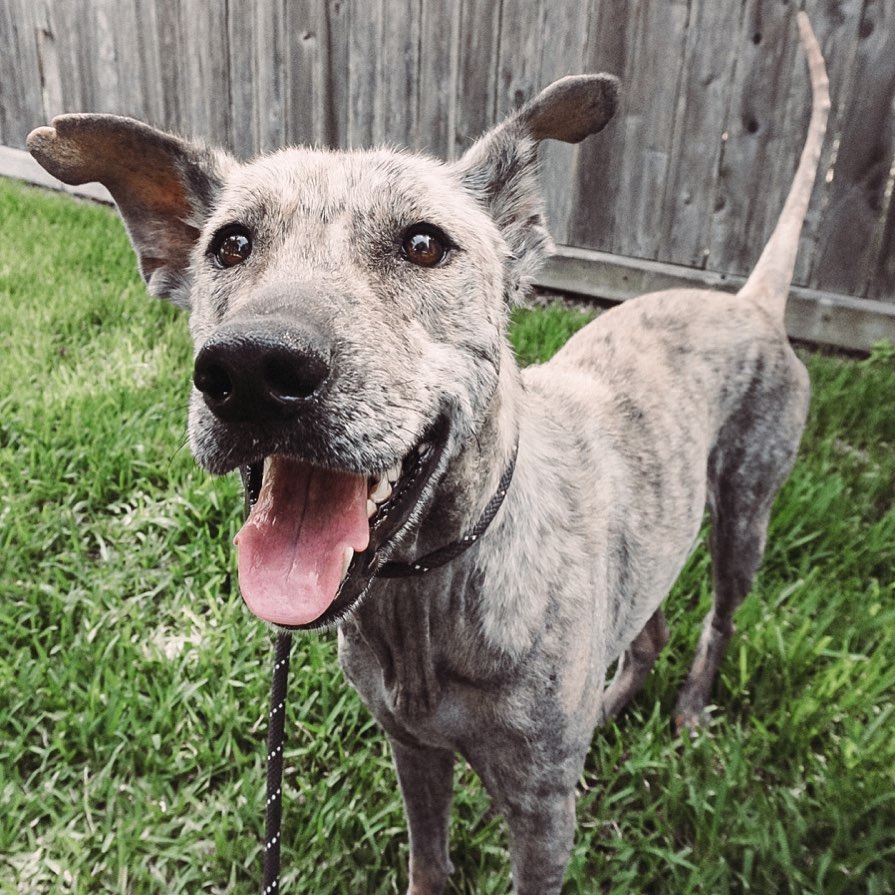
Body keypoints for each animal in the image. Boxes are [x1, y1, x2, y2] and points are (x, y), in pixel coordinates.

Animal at [31, 8, 832, 895]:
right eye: (229, 244)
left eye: (423, 244)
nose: (250, 369)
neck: (423, 593)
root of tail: (751, 302)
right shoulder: (409, 749)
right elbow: (427, 857)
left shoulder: (541, 814)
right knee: (647, 626)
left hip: (746, 513)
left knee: (719, 616)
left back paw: (691, 705)